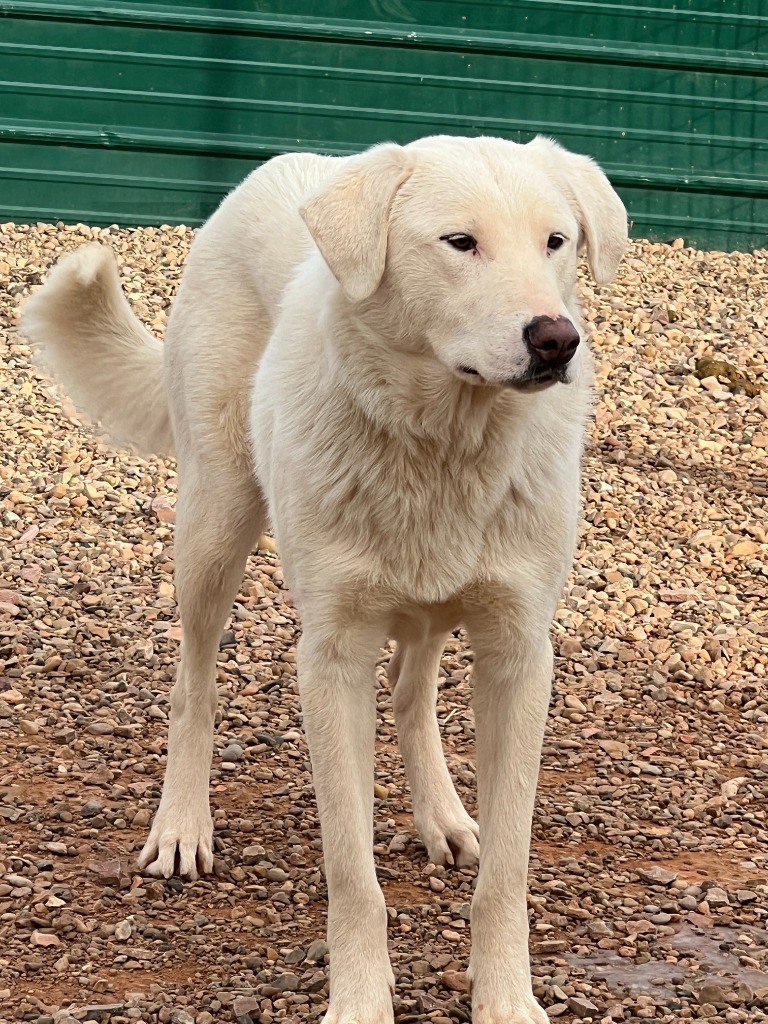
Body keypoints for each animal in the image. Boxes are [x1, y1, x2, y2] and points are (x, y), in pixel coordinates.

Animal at [22, 136, 626, 1024]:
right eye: (459, 243)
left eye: (556, 241)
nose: (556, 340)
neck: (443, 443)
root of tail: (282, 163)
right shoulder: (332, 658)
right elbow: (352, 871)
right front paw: (361, 1002)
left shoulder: (519, 653)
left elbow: (507, 871)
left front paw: (507, 999)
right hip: (214, 526)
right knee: (193, 687)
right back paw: (182, 824)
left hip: (432, 602)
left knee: (411, 693)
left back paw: (442, 813)